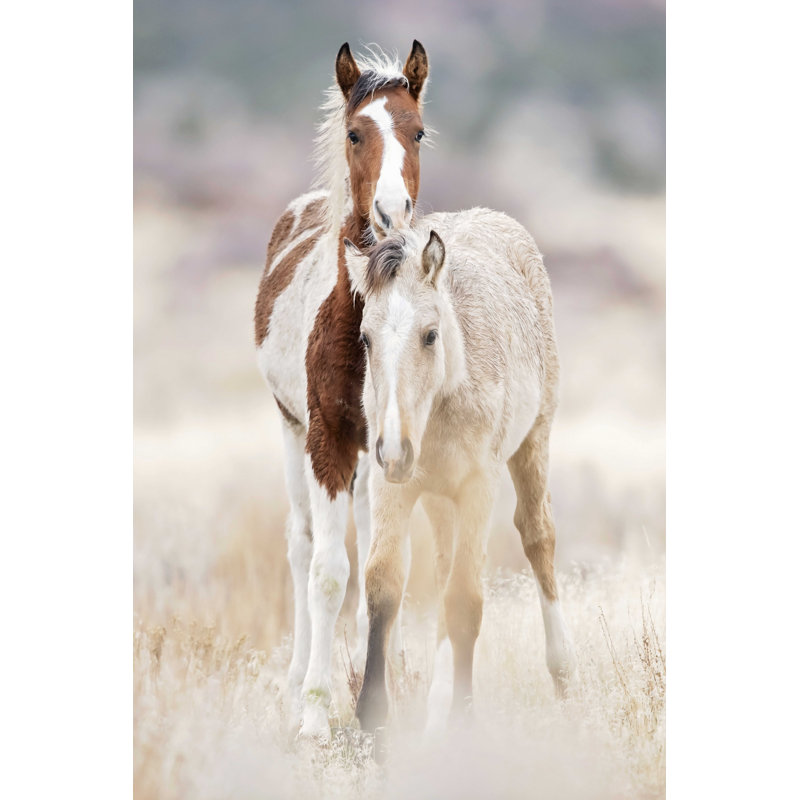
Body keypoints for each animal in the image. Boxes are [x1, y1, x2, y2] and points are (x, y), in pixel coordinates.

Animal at [254, 41, 431, 740]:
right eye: (356, 133)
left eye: (418, 131)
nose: (391, 215)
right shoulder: (326, 439)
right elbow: (328, 575)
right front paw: (314, 713)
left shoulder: (390, 448)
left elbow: (386, 573)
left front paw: (389, 699)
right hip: (291, 435)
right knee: (303, 548)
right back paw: (296, 682)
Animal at [343, 212, 576, 734]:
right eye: (366, 338)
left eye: (430, 334)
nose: (395, 449)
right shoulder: (392, 487)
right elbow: (384, 583)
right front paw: (373, 720)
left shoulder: (478, 487)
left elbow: (466, 600)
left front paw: (462, 722)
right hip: (436, 498)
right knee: (445, 566)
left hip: (533, 441)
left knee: (539, 536)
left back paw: (563, 673)